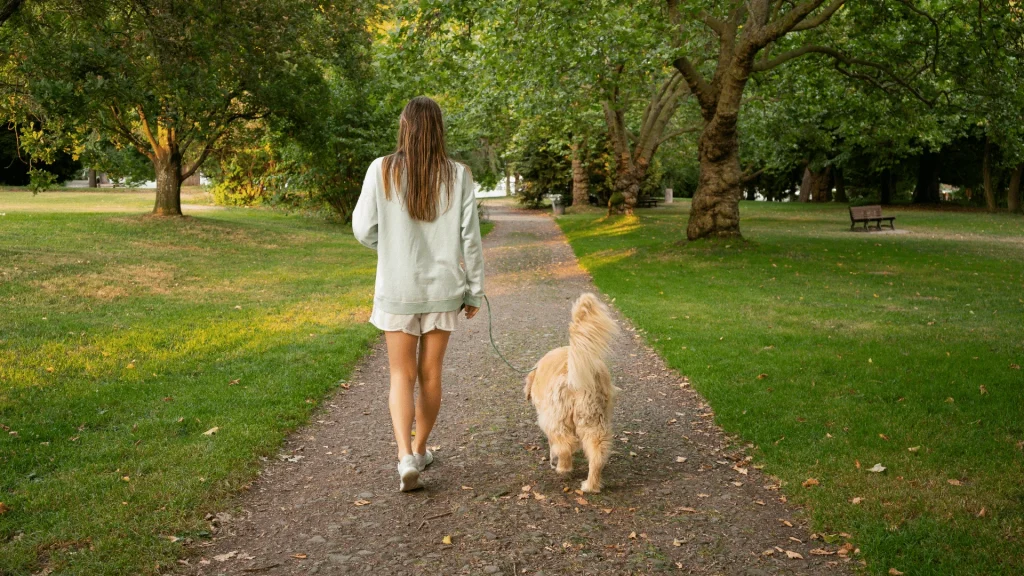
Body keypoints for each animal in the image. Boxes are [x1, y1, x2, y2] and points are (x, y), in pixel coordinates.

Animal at [528, 293, 614, 491]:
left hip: (559, 420)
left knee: (565, 444)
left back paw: (562, 468)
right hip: (594, 421)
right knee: (597, 454)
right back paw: (591, 486)